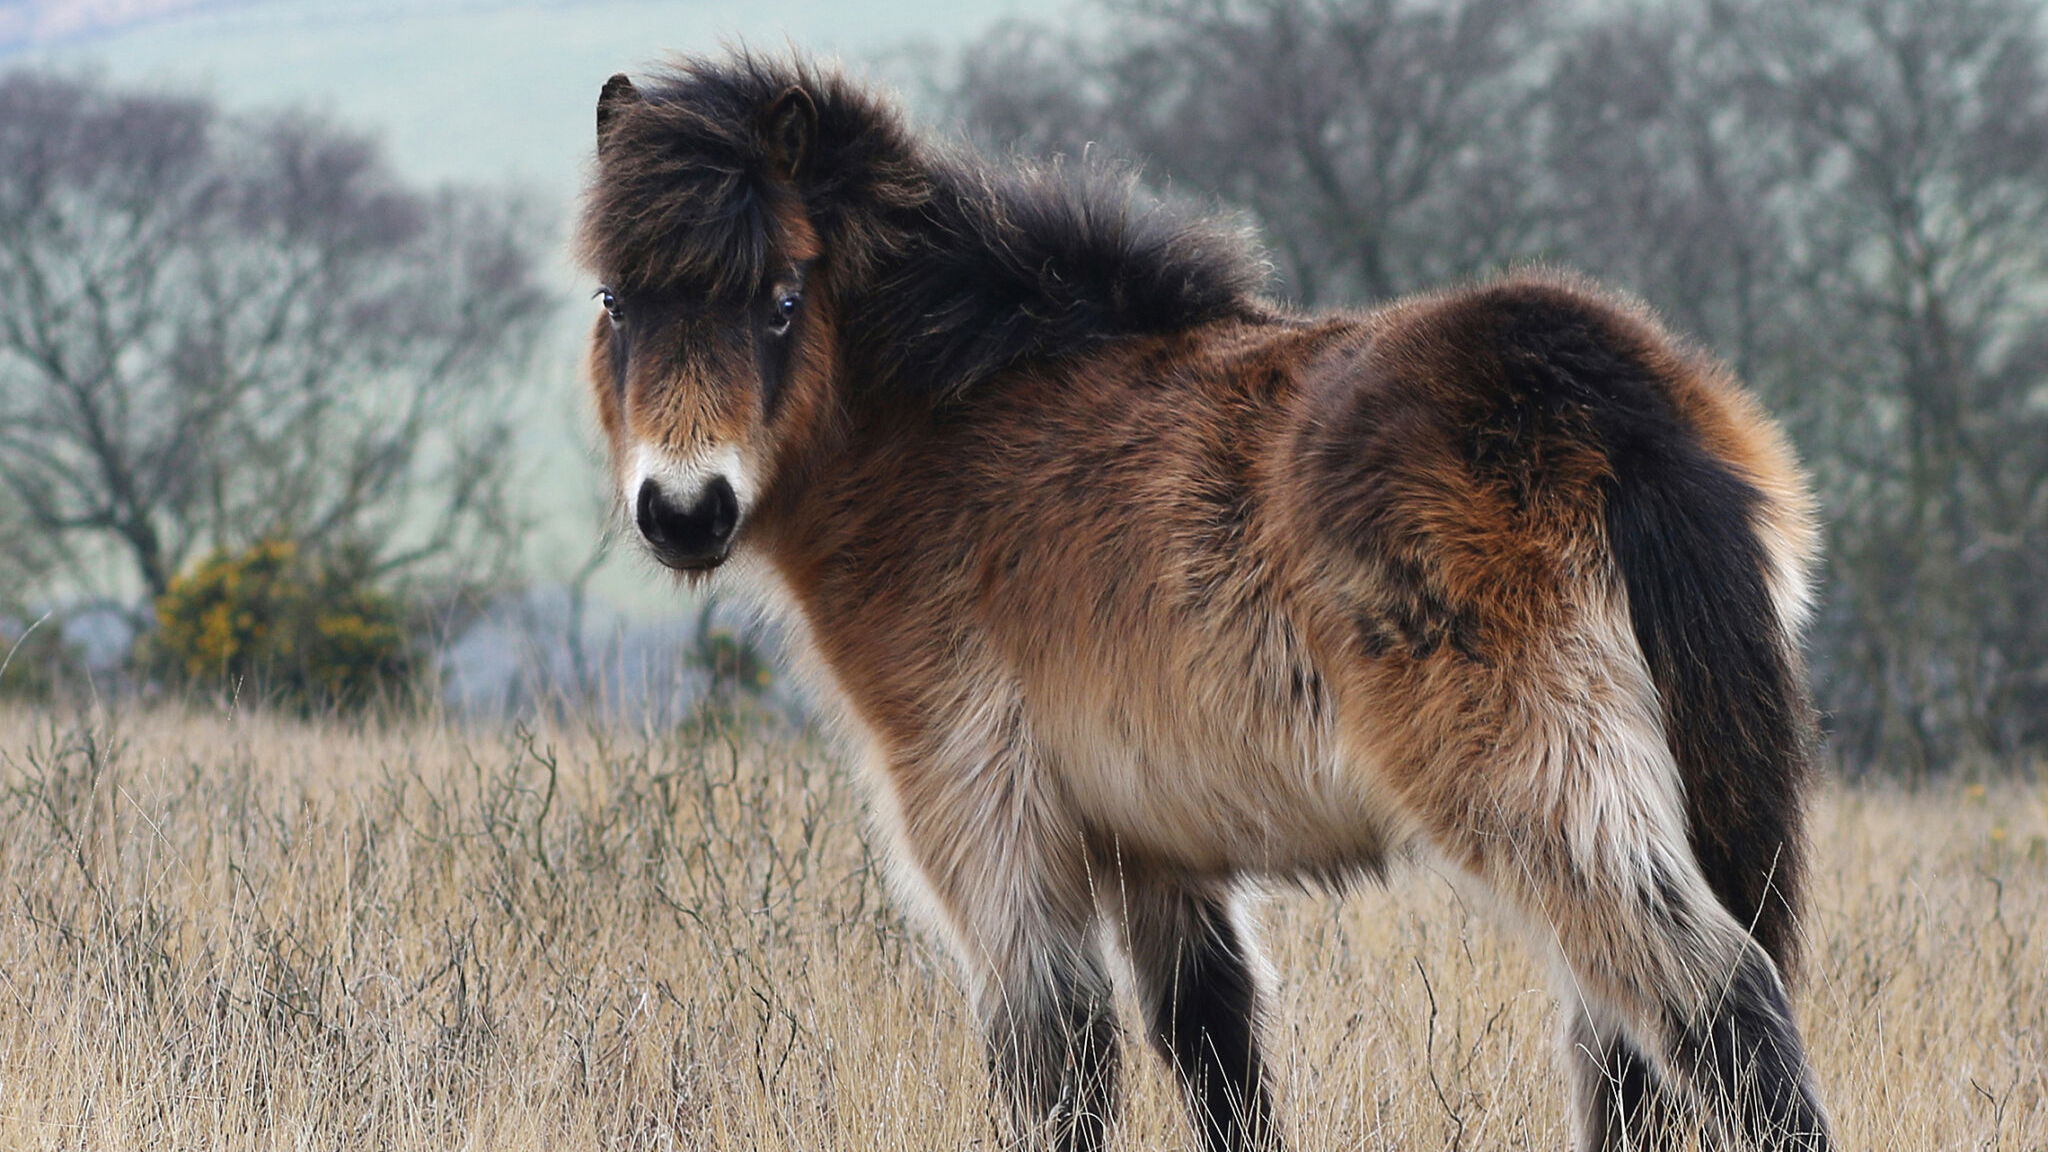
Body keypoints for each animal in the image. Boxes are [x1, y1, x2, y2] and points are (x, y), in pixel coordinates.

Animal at [576, 53, 1834, 1152]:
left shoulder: (988, 829)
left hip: (1540, 795)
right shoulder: (1150, 844)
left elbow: (1058, 1073)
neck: (945, 431)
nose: (683, 509)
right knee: (1627, 1054)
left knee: (1717, 1005)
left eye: (781, 299)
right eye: (615, 302)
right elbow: (1218, 1055)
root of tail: (1603, 397)